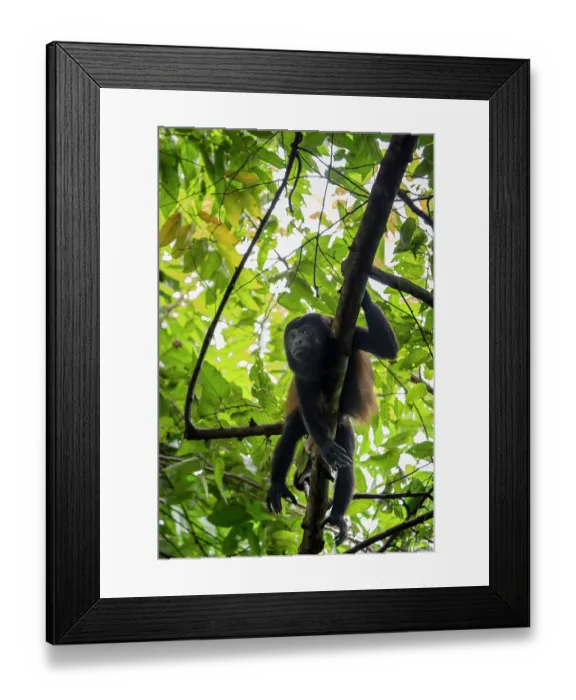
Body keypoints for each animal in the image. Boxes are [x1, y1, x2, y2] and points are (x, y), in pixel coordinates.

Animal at [266, 288, 399, 547]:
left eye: (306, 332)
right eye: (293, 335)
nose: (297, 341)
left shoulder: (351, 337)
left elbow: (387, 347)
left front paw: (364, 294)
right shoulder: (300, 373)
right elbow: (306, 404)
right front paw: (326, 446)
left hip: (343, 426)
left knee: (348, 461)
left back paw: (337, 516)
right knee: (290, 434)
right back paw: (277, 485)